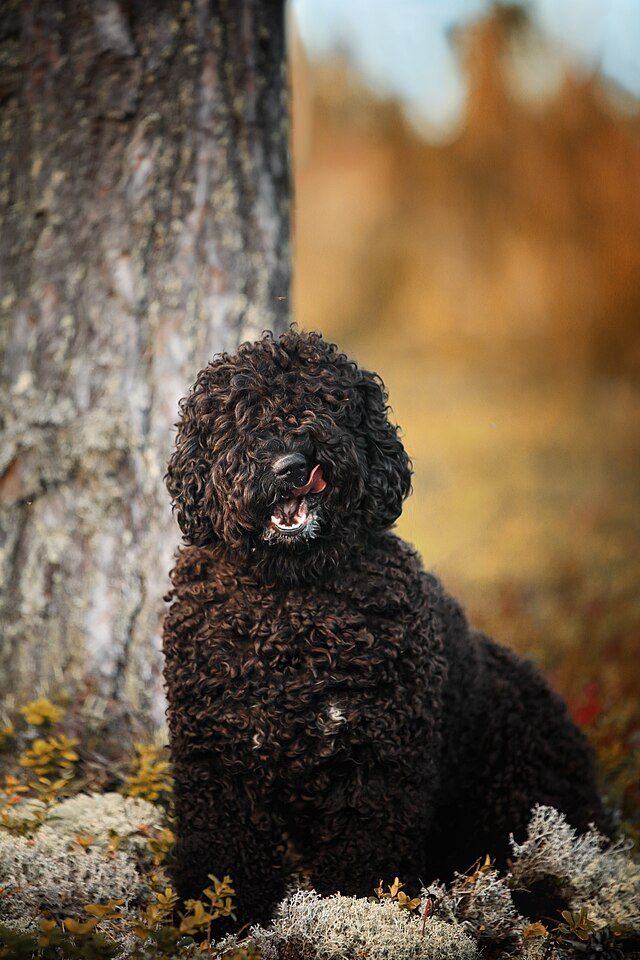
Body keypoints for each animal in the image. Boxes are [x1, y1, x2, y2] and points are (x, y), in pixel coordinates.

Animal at [162, 328, 608, 928]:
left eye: (329, 404)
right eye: (243, 414)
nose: (292, 464)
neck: (289, 606)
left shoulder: (376, 766)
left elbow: (364, 865)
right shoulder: (219, 764)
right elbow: (223, 862)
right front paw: (216, 923)